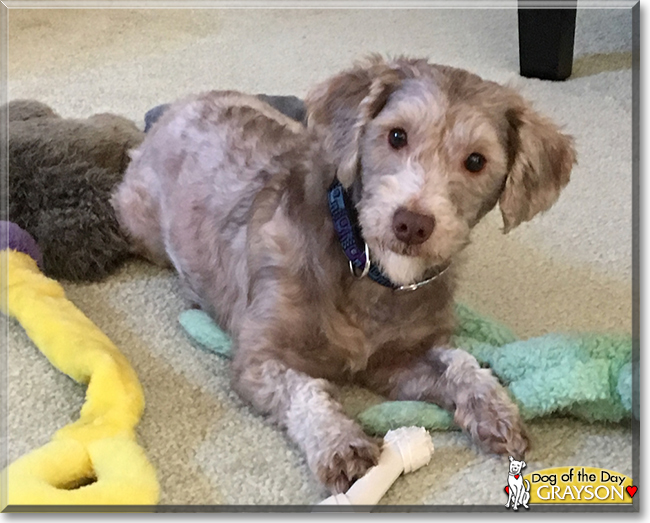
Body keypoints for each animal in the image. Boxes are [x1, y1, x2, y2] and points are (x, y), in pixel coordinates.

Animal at [110, 57, 572, 496]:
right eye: (396, 136)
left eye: (476, 161)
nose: (412, 223)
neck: (367, 266)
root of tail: (178, 107)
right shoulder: (260, 359)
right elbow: (306, 393)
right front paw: (341, 445)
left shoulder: (396, 361)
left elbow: (460, 363)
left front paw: (495, 408)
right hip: (141, 225)